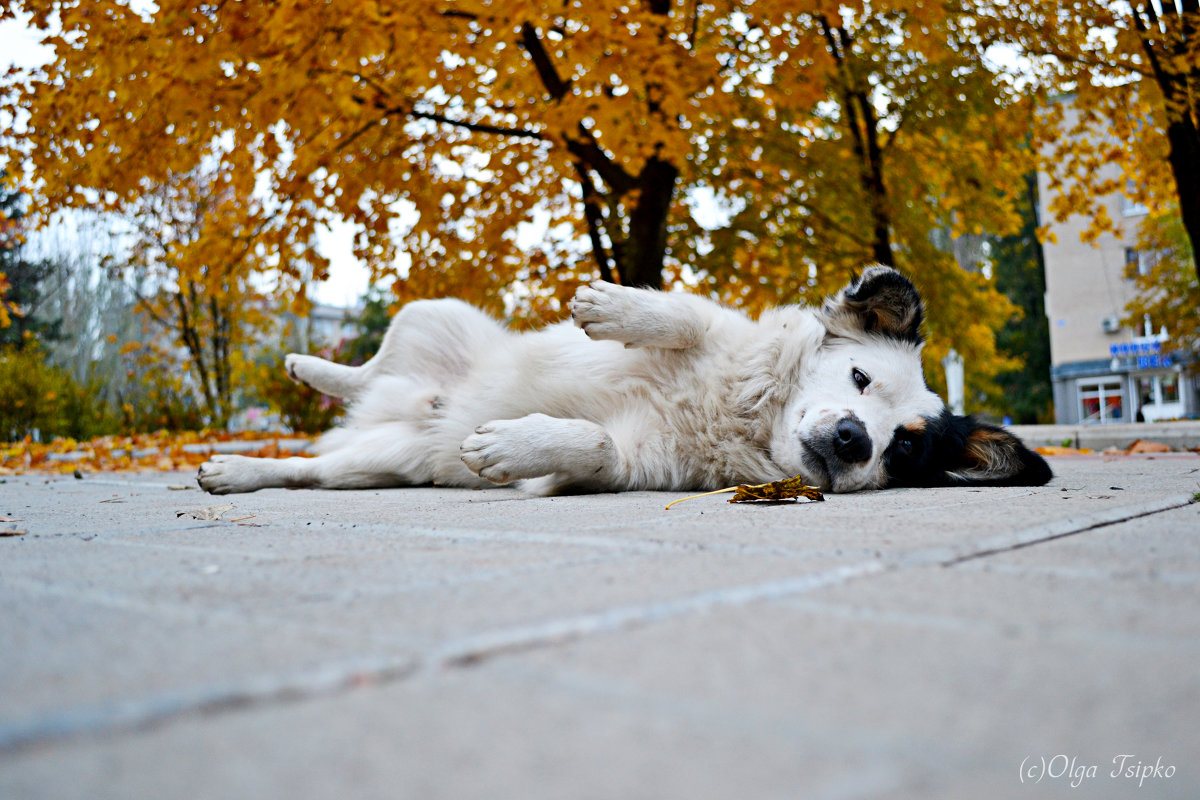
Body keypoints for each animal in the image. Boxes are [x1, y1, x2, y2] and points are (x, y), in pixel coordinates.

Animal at [196, 266, 1051, 496]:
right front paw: (615, 305)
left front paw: (513, 445)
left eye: (903, 450)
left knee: (307, 471)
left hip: (378, 466)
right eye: (860, 375)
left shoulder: (629, 464)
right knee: (371, 366)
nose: (851, 442)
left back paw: (237, 469)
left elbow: (594, 447)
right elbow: (687, 316)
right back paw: (311, 367)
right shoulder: (716, 341)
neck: (741, 419)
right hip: (431, 314)